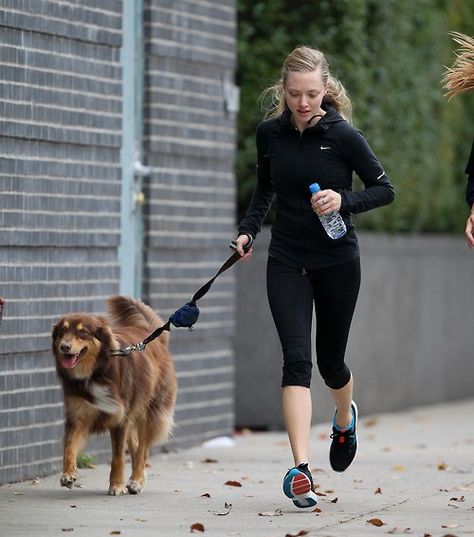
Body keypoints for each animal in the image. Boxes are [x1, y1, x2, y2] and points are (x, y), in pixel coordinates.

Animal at [51, 296, 177, 492]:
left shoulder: (120, 418)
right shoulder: (78, 416)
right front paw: (68, 474)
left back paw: (136, 480)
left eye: (83, 332)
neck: (95, 372)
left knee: (143, 449)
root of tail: (148, 331)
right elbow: (69, 448)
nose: (64, 347)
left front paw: (117, 485)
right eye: (63, 330)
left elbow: (118, 457)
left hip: (150, 412)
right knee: (135, 446)